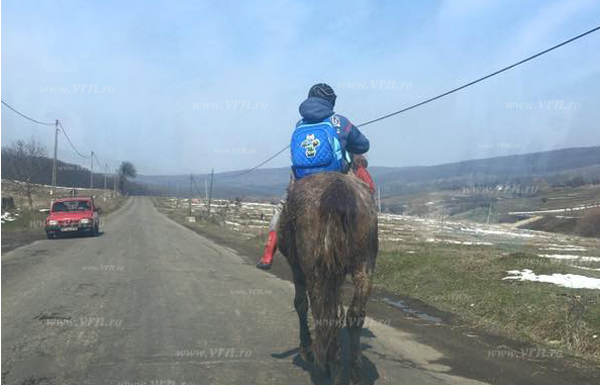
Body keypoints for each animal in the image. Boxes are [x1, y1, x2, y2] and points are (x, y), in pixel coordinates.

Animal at [278, 172, 380, 384]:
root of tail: (336, 190)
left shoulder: (296, 267)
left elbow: (300, 303)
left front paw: (306, 350)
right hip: (365, 264)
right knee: (355, 313)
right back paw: (353, 369)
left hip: (314, 271)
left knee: (322, 314)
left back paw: (327, 364)